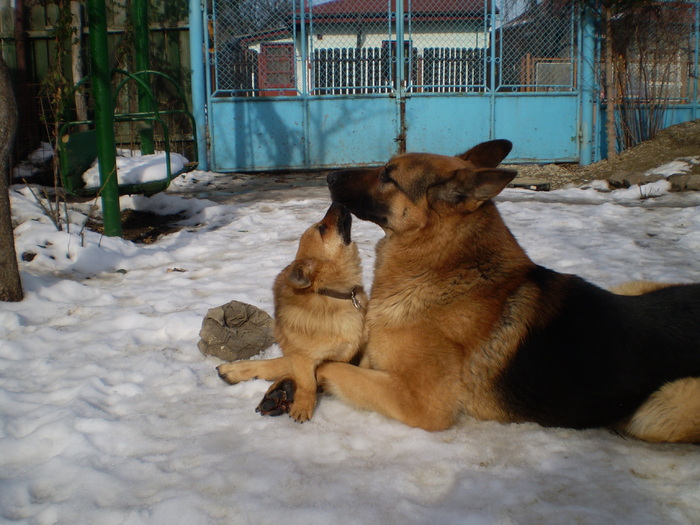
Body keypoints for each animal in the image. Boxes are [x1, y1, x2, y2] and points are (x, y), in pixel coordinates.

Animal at [217, 202, 366, 422]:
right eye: (322, 228)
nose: (337, 202)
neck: (334, 294)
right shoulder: (305, 356)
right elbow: (307, 380)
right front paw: (303, 404)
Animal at [296, 140, 700, 442]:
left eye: (387, 175)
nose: (329, 175)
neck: (445, 270)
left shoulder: (422, 403)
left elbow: (332, 367)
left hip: (661, 408)